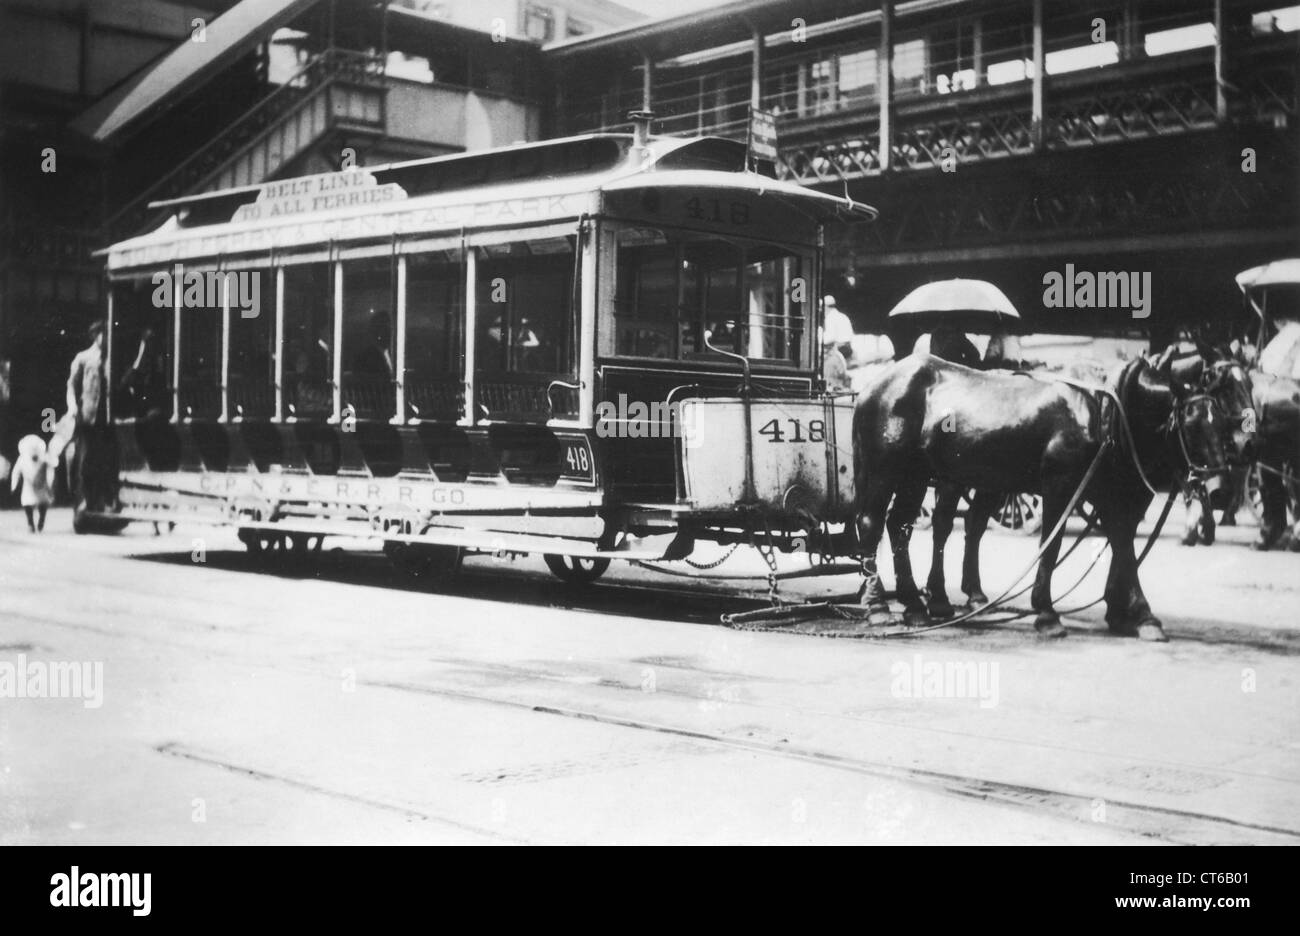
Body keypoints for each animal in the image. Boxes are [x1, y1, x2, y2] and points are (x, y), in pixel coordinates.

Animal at [852, 353, 1237, 644]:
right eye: (1192, 423)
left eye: (1220, 421)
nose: (1220, 488)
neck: (1105, 413)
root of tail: (875, 384)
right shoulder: (1060, 487)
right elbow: (1052, 548)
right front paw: (1047, 613)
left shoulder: (1112, 495)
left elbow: (1123, 547)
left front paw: (1136, 615)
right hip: (888, 471)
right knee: (874, 523)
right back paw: (878, 606)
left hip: (918, 476)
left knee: (902, 526)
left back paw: (917, 604)